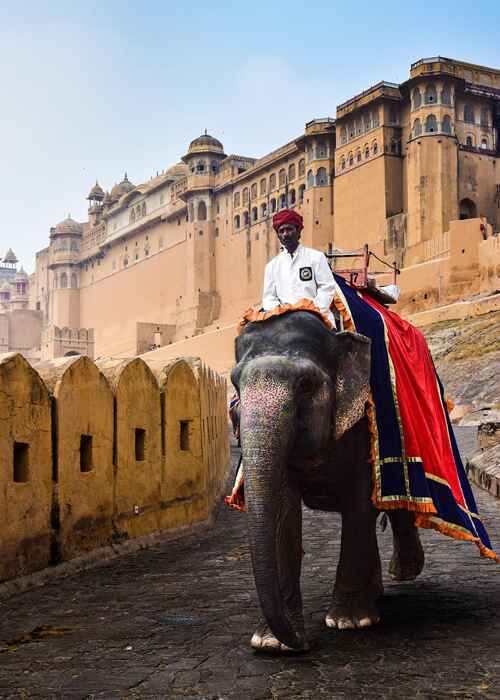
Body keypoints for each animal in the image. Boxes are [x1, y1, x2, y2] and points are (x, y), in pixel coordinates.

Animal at [229, 310, 422, 652]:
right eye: (234, 383)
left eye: (306, 385)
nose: (303, 645)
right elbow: (282, 511)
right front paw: (271, 644)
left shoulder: (363, 421)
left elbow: (360, 502)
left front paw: (350, 622)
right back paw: (376, 593)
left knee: (397, 506)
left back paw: (404, 573)